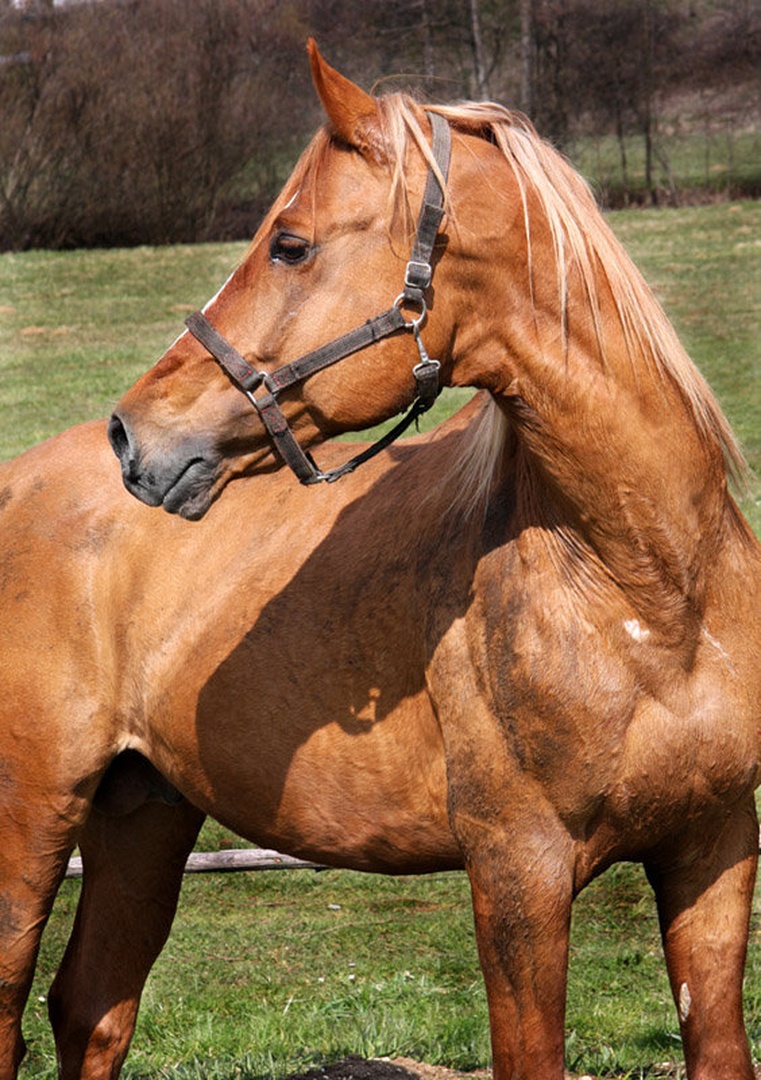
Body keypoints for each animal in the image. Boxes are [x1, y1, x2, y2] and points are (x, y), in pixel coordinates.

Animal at [1, 39, 759, 1080]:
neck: (648, 590)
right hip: (30, 822)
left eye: (289, 244)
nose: (132, 434)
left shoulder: (714, 851)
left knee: (91, 1010)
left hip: (143, 813)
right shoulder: (518, 874)